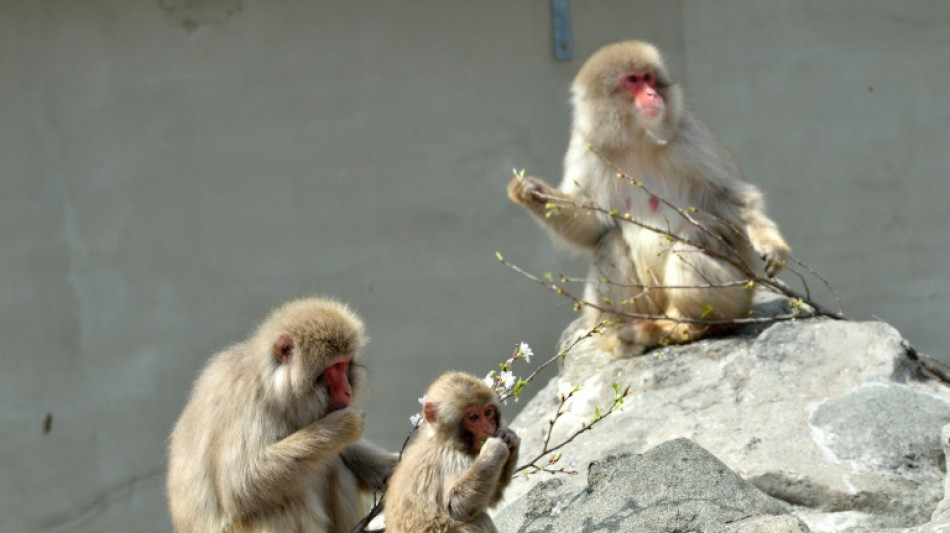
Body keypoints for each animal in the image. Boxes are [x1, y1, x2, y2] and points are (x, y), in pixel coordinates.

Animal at [167, 296, 398, 532]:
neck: (274, 389)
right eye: (335, 367)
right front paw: (345, 424)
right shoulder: (249, 404)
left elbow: (344, 450)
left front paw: (395, 470)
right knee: (282, 498)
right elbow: (241, 484)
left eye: (345, 363)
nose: (347, 391)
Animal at [510, 40, 792, 358]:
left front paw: (771, 244)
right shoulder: (585, 146)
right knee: (610, 242)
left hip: (739, 296)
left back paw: (690, 326)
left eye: (648, 77)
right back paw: (632, 332)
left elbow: (728, 197)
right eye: (632, 80)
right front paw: (531, 193)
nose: (651, 93)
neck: (637, 138)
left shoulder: (688, 135)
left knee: (692, 241)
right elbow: (594, 223)